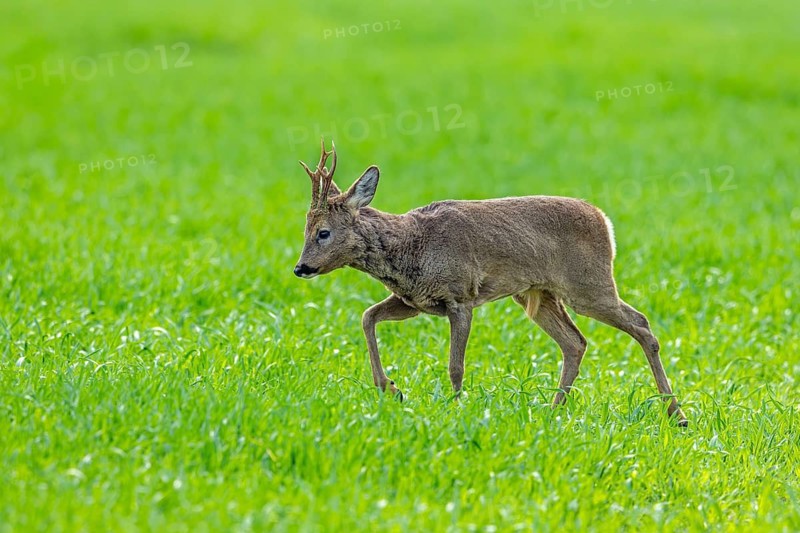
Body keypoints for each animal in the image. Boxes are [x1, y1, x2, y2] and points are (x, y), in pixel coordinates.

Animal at [293, 139, 687, 426]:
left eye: (324, 232)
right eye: (304, 230)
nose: (301, 267)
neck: (411, 247)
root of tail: (605, 221)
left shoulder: (460, 296)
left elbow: (455, 365)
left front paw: (454, 407)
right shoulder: (413, 302)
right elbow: (368, 317)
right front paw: (391, 389)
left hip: (589, 285)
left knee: (641, 324)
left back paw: (677, 415)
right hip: (538, 295)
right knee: (575, 342)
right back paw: (553, 410)